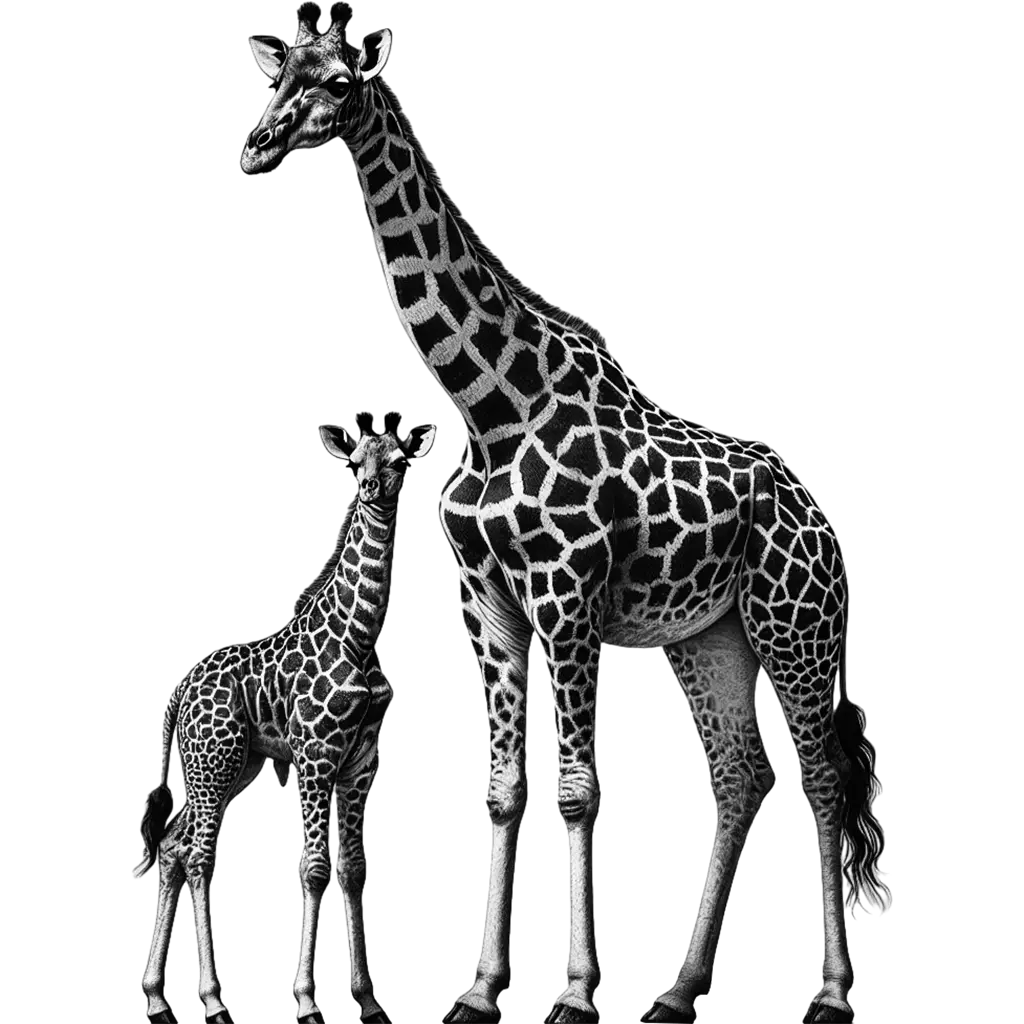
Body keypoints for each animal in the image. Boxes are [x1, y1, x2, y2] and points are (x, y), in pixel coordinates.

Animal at [132, 415, 436, 1024]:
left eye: (399, 459)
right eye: (353, 462)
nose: (371, 488)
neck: (360, 635)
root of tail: (180, 692)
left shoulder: (360, 764)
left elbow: (354, 872)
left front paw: (369, 999)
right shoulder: (316, 755)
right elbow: (314, 870)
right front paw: (307, 999)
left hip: (229, 766)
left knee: (174, 847)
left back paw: (156, 996)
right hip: (215, 762)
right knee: (199, 855)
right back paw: (213, 999)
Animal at [238, 8, 889, 1023]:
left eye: (339, 82)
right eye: (275, 79)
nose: (255, 144)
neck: (490, 403)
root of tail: (828, 526)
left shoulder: (570, 592)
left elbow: (578, 789)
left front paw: (576, 993)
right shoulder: (488, 608)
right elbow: (503, 790)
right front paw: (478, 990)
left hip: (795, 625)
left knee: (822, 777)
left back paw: (829, 995)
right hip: (708, 638)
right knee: (741, 778)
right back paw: (677, 992)